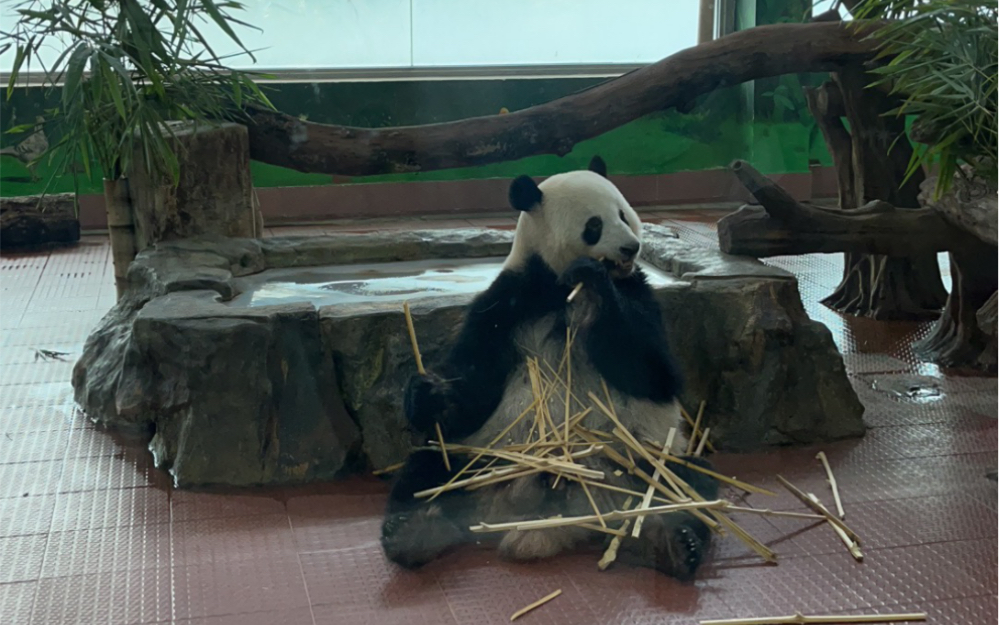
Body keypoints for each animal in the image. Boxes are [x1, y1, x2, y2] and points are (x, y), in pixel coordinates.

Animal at [382, 157, 720, 580]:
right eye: (594, 225)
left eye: (624, 214)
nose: (632, 246)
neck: (560, 289)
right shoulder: (507, 302)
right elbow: (474, 388)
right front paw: (427, 392)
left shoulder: (637, 293)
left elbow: (654, 373)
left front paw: (595, 278)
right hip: (484, 458)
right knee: (427, 469)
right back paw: (411, 534)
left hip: (638, 458)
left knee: (689, 481)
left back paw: (674, 543)